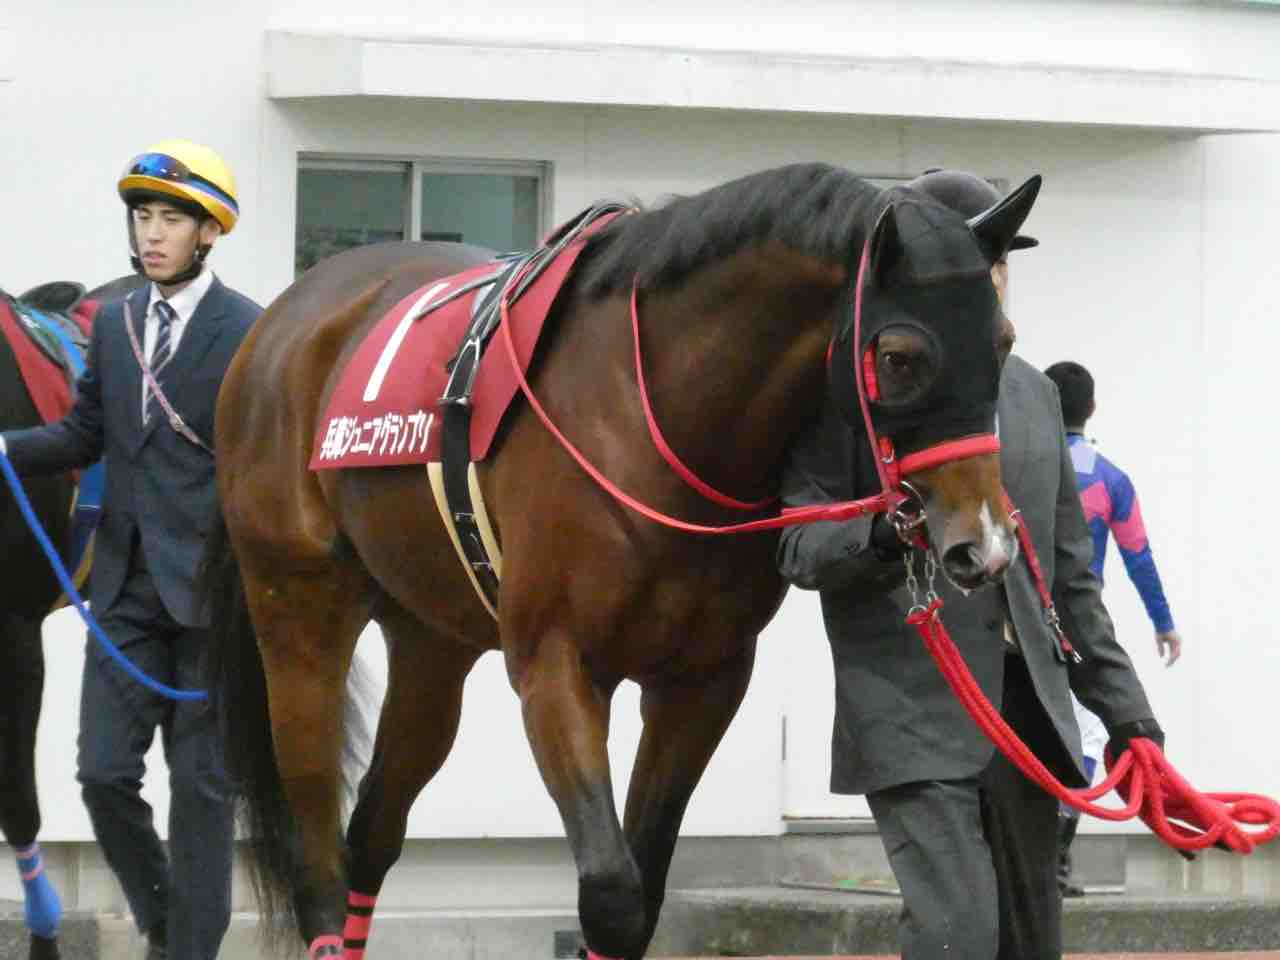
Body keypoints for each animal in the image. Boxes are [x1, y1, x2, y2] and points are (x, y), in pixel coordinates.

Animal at [203, 162, 1039, 960]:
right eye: (899, 357)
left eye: (1003, 341)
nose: (985, 542)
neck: (653, 417)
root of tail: (285, 320)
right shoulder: (556, 666)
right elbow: (611, 892)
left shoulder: (702, 681)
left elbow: (644, 891)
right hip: (299, 615)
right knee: (318, 850)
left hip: (431, 637)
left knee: (372, 832)